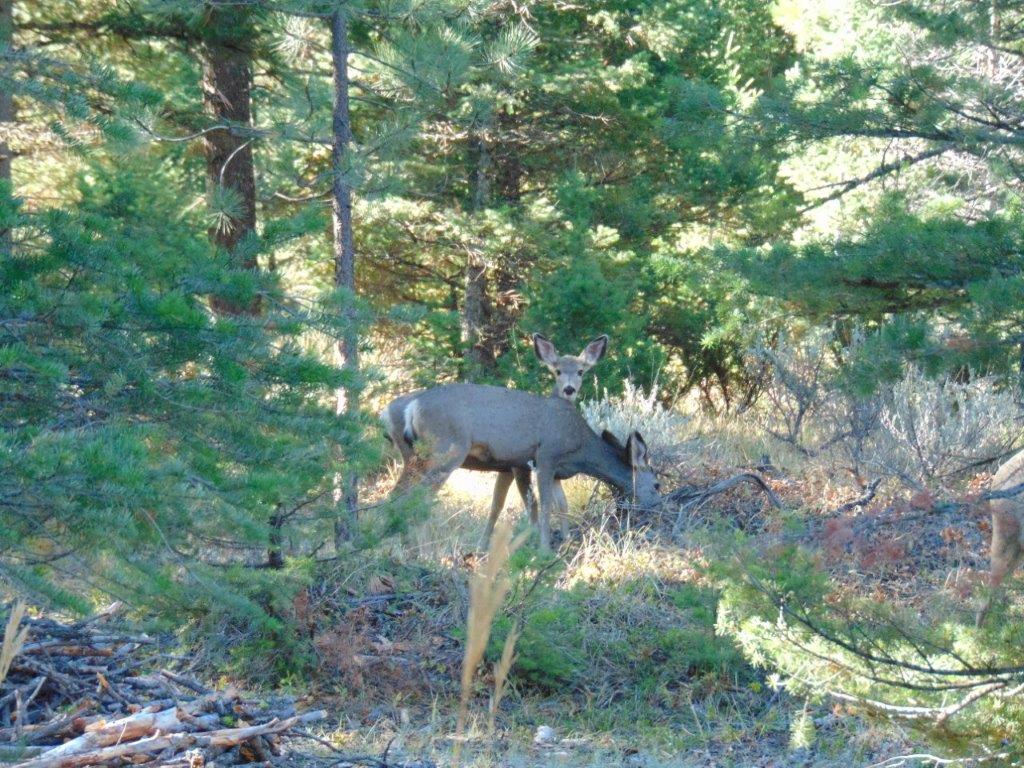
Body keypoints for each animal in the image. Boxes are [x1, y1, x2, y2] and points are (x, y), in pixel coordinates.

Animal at [384, 383, 661, 551]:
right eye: (657, 484)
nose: (659, 506)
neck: (581, 448)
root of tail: (412, 407)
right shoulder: (544, 456)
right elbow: (544, 504)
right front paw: (544, 548)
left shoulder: (531, 468)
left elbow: (559, 504)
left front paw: (565, 541)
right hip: (446, 450)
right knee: (418, 496)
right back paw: (418, 545)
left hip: (415, 456)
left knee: (398, 494)